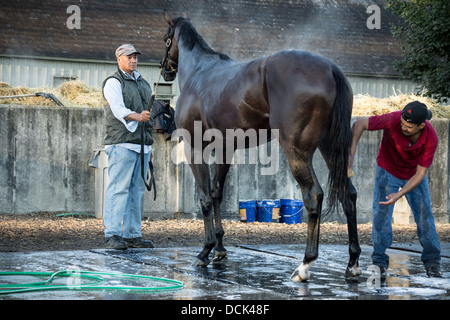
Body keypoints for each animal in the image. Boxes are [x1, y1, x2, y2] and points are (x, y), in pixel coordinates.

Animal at [162, 11, 362, 282]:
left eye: (166, 38)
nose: (164, 70)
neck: (199, 72)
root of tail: (331, 69)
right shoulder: (225, 149)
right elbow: (216, 194)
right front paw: (220, 249)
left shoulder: (195, 148)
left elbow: (204, 198)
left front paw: (205, 251)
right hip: (331, 148)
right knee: (347, 193)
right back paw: (352, 262)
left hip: (297, 152)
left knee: (313, 195)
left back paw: (305, 264)